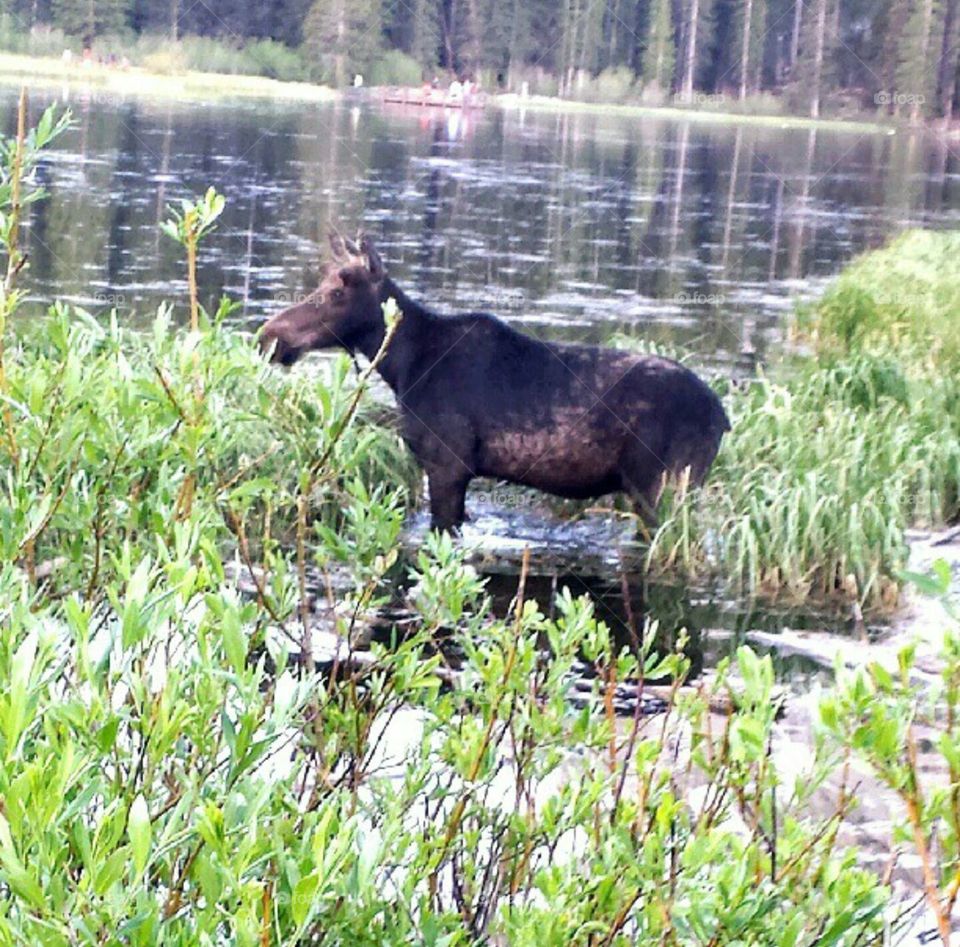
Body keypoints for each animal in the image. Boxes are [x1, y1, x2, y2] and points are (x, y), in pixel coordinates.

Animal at [258, 234, 732, 532]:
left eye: (336, 294)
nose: (269, 336)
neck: (404, 365)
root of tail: (724, 418)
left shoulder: (447, 464)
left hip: (664, 488)